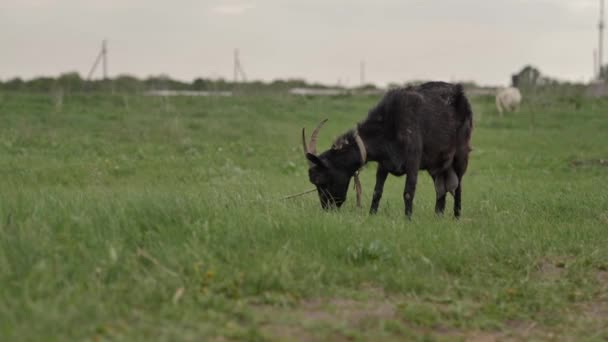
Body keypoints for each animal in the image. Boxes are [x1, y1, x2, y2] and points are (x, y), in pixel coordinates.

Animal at [302, 81, 472, 218]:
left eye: (321, 179)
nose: (327, 208)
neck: (388, 126)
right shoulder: (383, 164)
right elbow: (377, 191)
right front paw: (372, 215)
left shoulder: (413, 161)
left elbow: (408, 192)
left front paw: (408, 220)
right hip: (436, 164)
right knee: (441, 189)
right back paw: (438, 216)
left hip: (461, 154)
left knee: (458, 186)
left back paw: (456, 217)